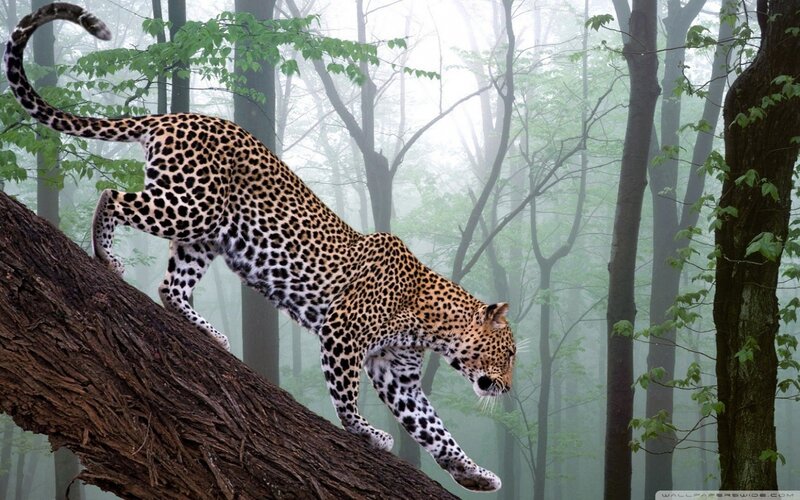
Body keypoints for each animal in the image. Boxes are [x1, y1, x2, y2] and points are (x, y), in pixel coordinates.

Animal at [4, 3, 517, 492]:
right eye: (509, 353)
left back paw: (209, 333)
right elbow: (346, 395)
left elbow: (435, 430)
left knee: (171, 287)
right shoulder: (342, 333)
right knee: (112, 196)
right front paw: (365, 433)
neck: (430, 323)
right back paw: (106, 255)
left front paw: (474, 473)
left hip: (206, 235)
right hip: (190, 205)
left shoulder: (399, 376)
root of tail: (179, 115)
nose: (509, 390)